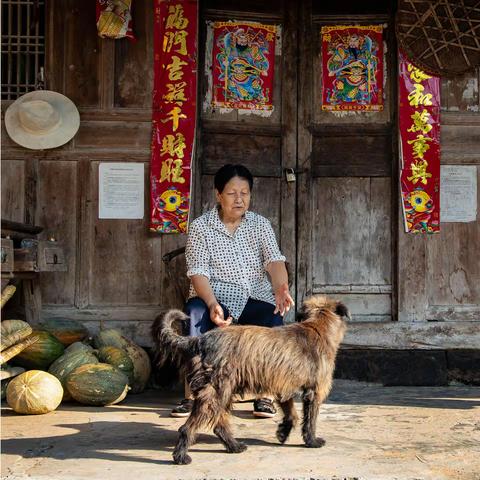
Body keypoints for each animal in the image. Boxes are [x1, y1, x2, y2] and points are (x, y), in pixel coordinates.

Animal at [152, 294, 350, 464]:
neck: (317, 325)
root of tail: (199, 340)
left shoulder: (283, 387)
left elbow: (292, 414)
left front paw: (283, 433)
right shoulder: (314, 392)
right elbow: (310, 420)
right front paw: (312, 441)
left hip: (223, 393)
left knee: (218, 425)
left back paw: (234, 446)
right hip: (216, 393)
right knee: (187, 428)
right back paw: (181, 456)